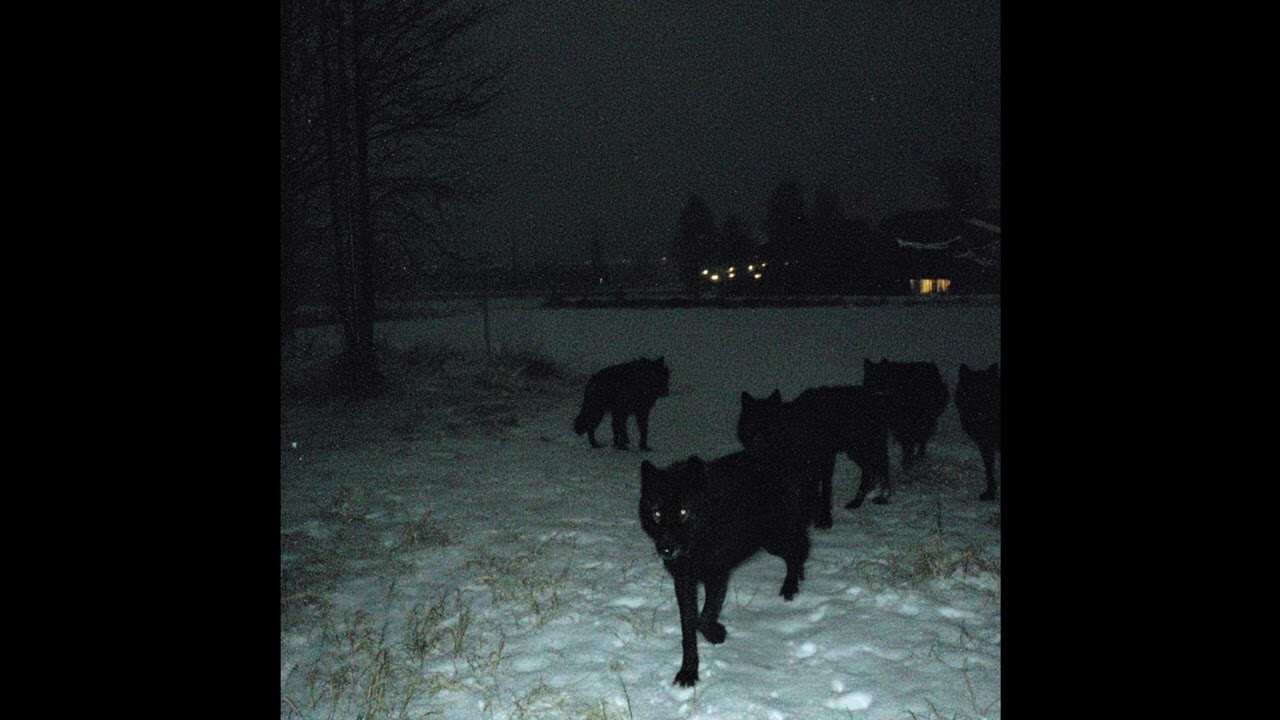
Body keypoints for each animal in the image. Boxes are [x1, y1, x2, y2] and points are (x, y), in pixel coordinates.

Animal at [639, 452, 811, 687]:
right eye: (656, 514)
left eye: (683, 511)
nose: (665, 549)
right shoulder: (684, 581)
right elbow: (688, 628)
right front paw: (688, 672)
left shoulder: (717, 575)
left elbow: (704, 618)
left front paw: (716, 634)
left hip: (774, 539)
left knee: (797, 551)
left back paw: (790, 587)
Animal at [737, 386, 892, 522]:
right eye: (752, 423)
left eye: (769, 423)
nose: (758, 441)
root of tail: (876, 399)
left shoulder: (824, 461)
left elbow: (822, 490)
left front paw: (823, 518)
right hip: (856, 452)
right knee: (870, 470)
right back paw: (857, 502)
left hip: (863, 449)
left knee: (883, 466)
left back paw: (883, 497)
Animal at [954, 362, 1001, 501]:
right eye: (972, 392)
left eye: (987, 392)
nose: (980, 413)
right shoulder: (985, 444)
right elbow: (989, 470)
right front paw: (990, 493)